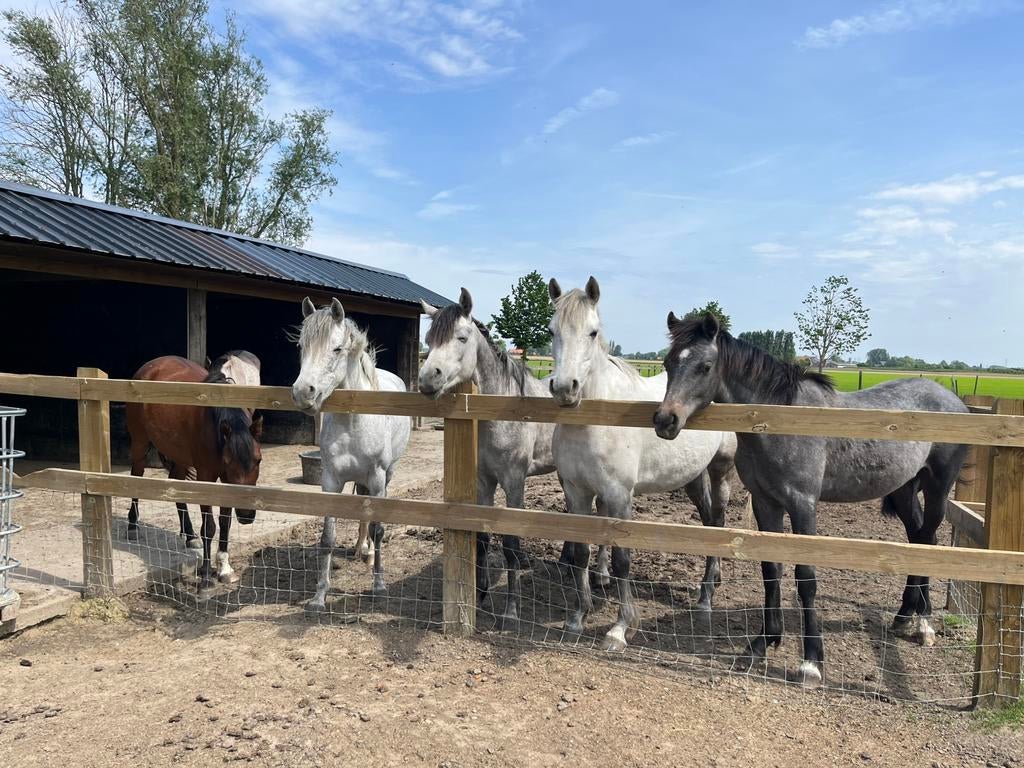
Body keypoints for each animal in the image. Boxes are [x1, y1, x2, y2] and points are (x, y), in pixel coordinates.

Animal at [125, 356, 263, 592]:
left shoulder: (226, 480)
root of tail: (151, 365)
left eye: (258, 460)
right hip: (140, 443)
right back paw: (132, 526)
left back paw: (189, 535)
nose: (246, 515)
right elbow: (209, 527)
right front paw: (206, 576)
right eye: (229, 461)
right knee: (136, 476)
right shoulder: (206, 476)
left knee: (176, 486)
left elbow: (225, 522)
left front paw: (224, 568)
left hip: (179, 455)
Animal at [291, 297, 411, 608]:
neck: (353, 420)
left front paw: (379, 585)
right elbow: (327, 537)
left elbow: (379, 528)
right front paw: (319, 596)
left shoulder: (378, 477)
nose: (303, 393)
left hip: (387, 475)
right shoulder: (331, 481)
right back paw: (360, 548)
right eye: (301, 346)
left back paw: (368, 554)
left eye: (336, 348)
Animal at [418, 287, 556, 627]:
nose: (427, 378)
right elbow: (481, 538)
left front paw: (511, 611)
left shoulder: (514, 483)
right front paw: (479, 597)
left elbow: (511, 545)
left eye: (461, 337)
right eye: (429, 338)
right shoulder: (483, 481)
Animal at [547, 277, 737, 652]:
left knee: (719, 520)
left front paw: (621, 629)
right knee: (709, 519)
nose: (564, 389)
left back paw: (706, 599)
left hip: (720, 470)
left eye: (592, 332)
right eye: (551, 330)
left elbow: (622, 558)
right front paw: (577, 618)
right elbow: (580, 552)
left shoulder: (619, 495)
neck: (594, 421)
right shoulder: (576, 491)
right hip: (693, 477)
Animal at [653, 312, 969, 686]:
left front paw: (811, 662)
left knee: (929, 541)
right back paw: (904, 616)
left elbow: (806, 577)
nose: (665, 420)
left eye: (705, 366)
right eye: (668, 363)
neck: (778, 420)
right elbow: (771, 569)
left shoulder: (803, 504)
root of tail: (952, 398)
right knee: (918, 539)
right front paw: (762, 643)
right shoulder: (767, 502)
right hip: (904, 490)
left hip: (938, 488)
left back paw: (924, 624)